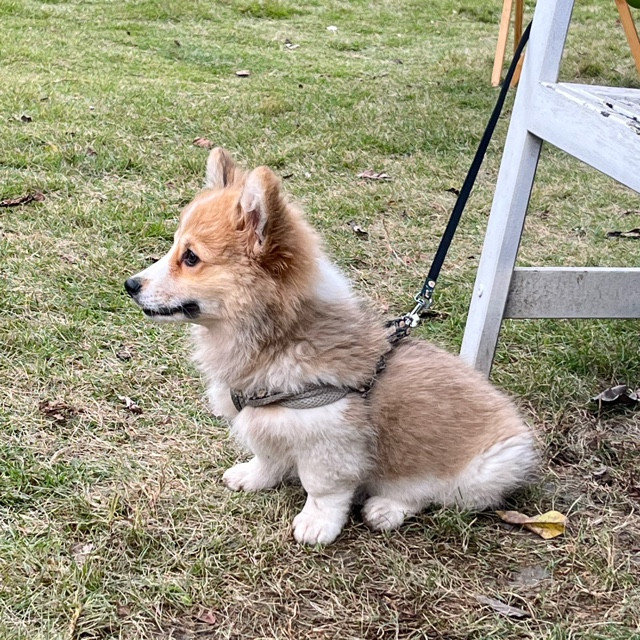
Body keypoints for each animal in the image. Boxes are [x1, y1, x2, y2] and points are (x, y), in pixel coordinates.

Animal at [125, 148, 537, 545]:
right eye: (175, 248)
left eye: (190, 258)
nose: (130, 285)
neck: (283, 338)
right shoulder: (267, 422)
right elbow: (267, 455)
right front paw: (253, 477)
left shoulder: (330, 438)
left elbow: (323, 488)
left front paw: (317, 524)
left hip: (483, 470)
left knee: (434, 494)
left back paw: (387, 507)